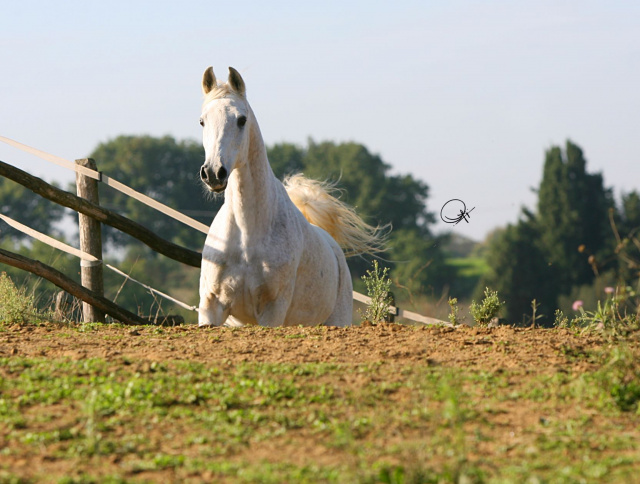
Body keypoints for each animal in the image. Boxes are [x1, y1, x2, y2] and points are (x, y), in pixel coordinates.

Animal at [198, 66, 382, 328]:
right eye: (202, 121)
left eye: (241, 120)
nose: (213, 173)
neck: (246, 236)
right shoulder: (211, 306)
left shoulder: (272, 310)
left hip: (336, 320)